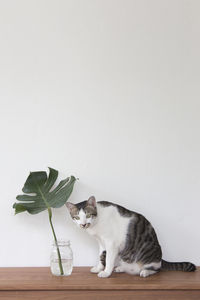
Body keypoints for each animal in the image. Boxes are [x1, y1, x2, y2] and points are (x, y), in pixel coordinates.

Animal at [65, 196, 195, 278]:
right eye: (77, 217)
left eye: (88, 215)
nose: (83, 224)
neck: (96, 223)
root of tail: (160, 257)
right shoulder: (101, 243)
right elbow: (101, 256)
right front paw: (99, 268)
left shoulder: (111, 243)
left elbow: (109, 259)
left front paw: (106, 273)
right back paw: (121, 268)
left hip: (149, 253)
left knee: (157, 268)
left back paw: (145, 272)